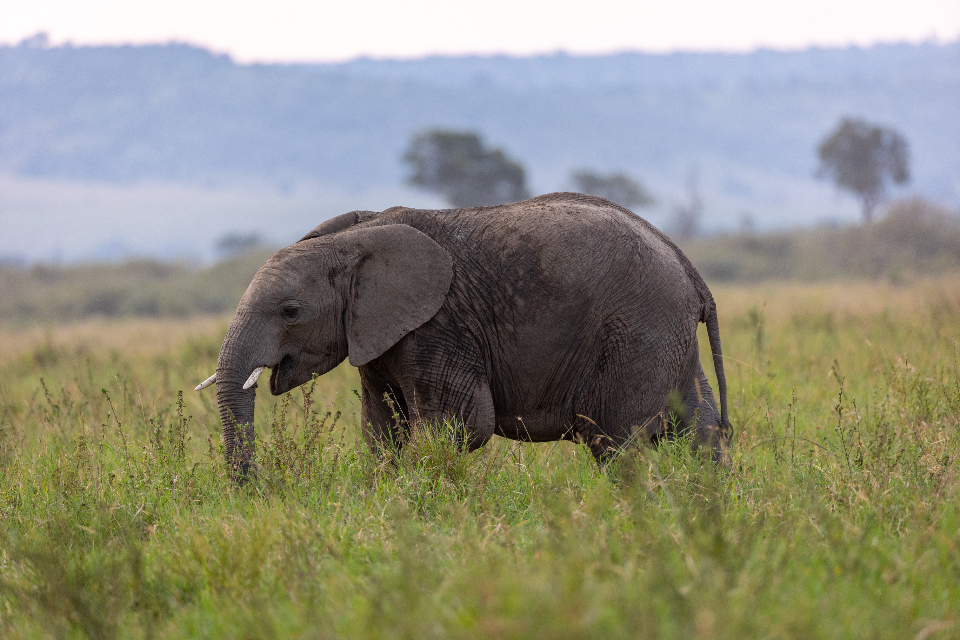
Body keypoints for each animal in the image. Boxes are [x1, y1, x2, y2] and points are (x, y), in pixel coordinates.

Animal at [197, 192, 730, 476]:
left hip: (638, 333)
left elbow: (458, 426)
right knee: (697, 429)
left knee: (619, 441)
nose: (250, 488)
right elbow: (381, 429)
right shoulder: (379, 332)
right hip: (667, 340)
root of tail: (689, 268)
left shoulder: (442, 325)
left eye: (290, 311)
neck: (355, 238)